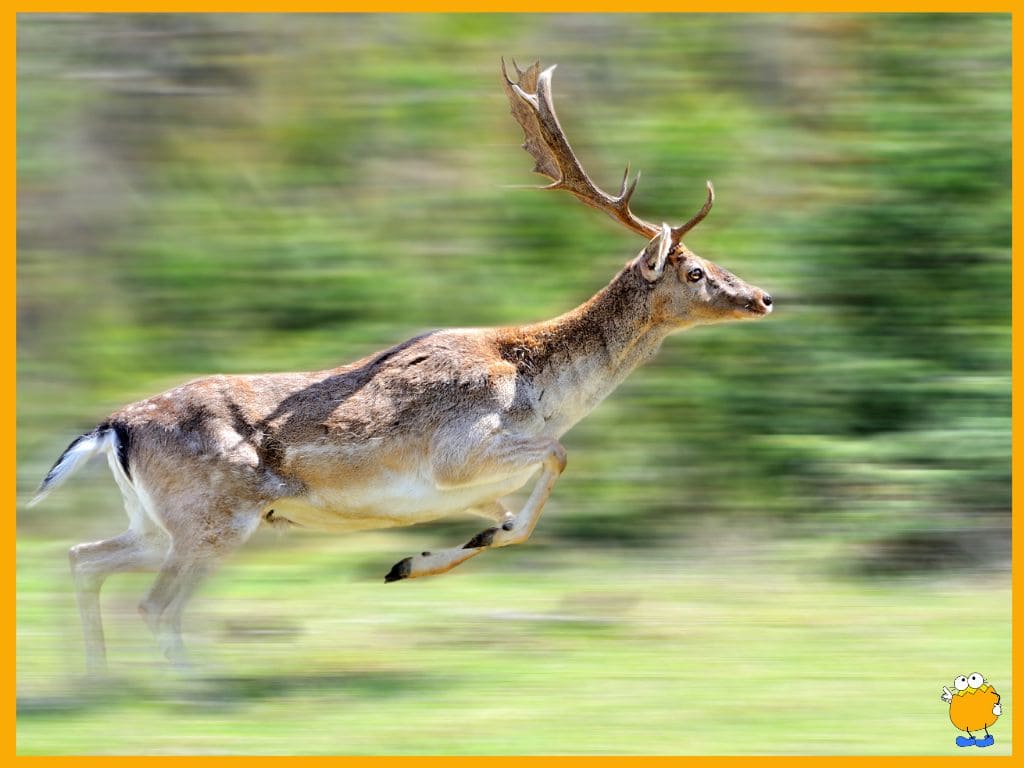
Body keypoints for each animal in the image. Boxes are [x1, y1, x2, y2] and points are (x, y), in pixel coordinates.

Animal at [28, 61, 770, 671]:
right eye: (697, 272)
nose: (763, 296)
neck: (539, 389)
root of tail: (113, 427)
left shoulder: (471, 485)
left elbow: (513, 524)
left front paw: (414, 561)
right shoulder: (459, 453)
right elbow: (557, 460)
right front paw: (414, 561)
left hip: (156, 524)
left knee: (82, 557)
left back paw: (99, 681)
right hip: (211, 521)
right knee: (153, 603)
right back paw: (198, 691)